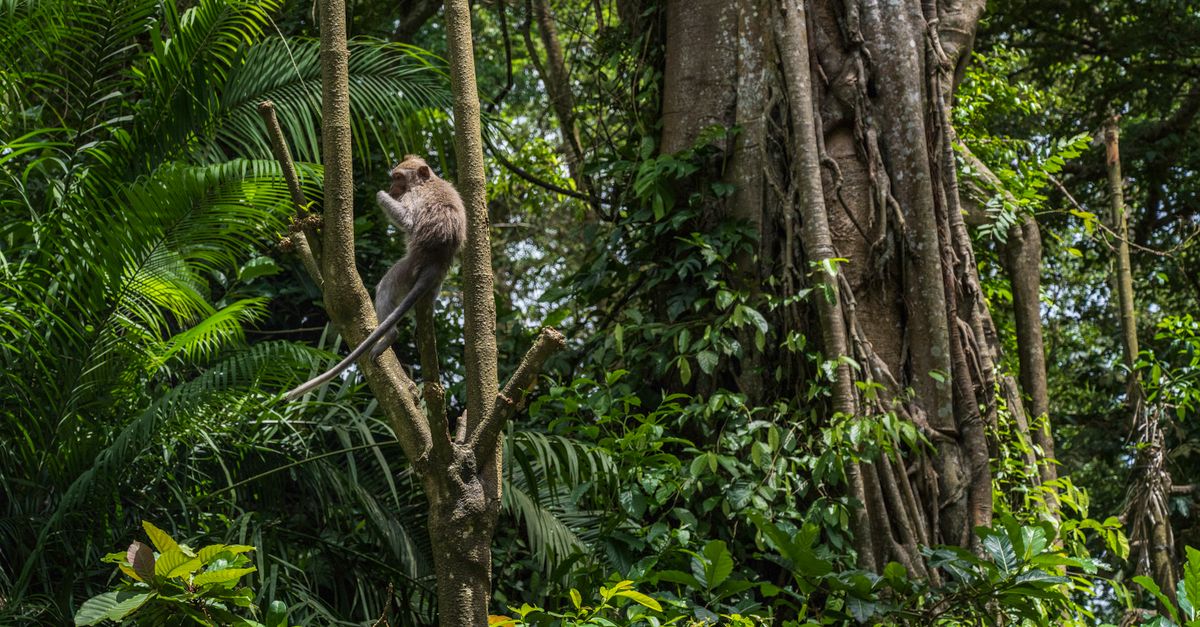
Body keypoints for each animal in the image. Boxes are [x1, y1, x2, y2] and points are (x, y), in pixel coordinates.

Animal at [284, 155, 467, 401]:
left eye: (398, 177)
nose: (391, 187)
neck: (426, 182)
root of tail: (437, 260)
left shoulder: (413, 196)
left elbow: (408, 221)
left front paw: (380, 194)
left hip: (408, 269)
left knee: (385, 288)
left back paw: (389, 336)